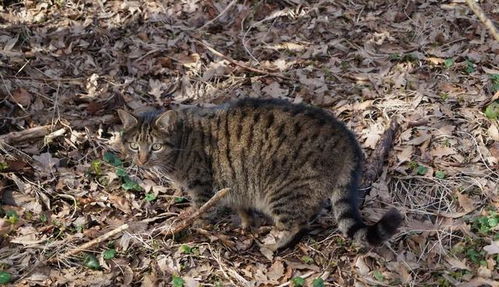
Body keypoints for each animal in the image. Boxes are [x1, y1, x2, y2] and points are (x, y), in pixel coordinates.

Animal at [119, 98, 404, 251]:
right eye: (134, 145)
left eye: (155, 146)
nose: (141, 159)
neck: (182, 143)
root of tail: (346, 136)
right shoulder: (234, 185)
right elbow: (241, 207)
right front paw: (246, 224)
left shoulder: (202, 187)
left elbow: (202, 212)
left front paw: (192, 225)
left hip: (284, 191)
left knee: (298, 224)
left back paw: (274, 243)